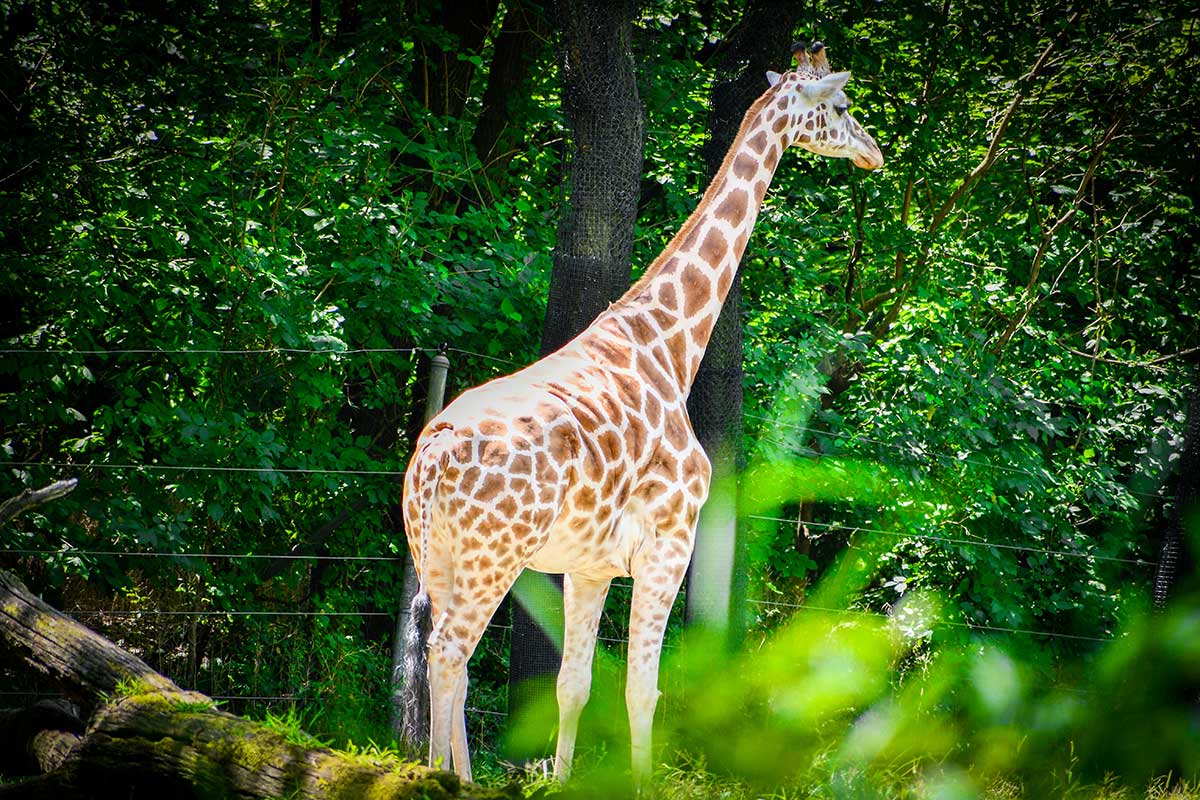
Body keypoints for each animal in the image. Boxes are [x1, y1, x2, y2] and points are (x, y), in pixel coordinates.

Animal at [403, 42, 883, 786]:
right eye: (839, 105)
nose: (874, 154)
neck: (668, 346)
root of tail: (435, 454)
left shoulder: (590, 564)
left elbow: (573, 686)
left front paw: (563, 784)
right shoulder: (670, 541)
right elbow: (642, 688)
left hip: (436, 552)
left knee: (441, 646)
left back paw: (457, 775)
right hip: (495, 553)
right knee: (453, 649)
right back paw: (440, 777)